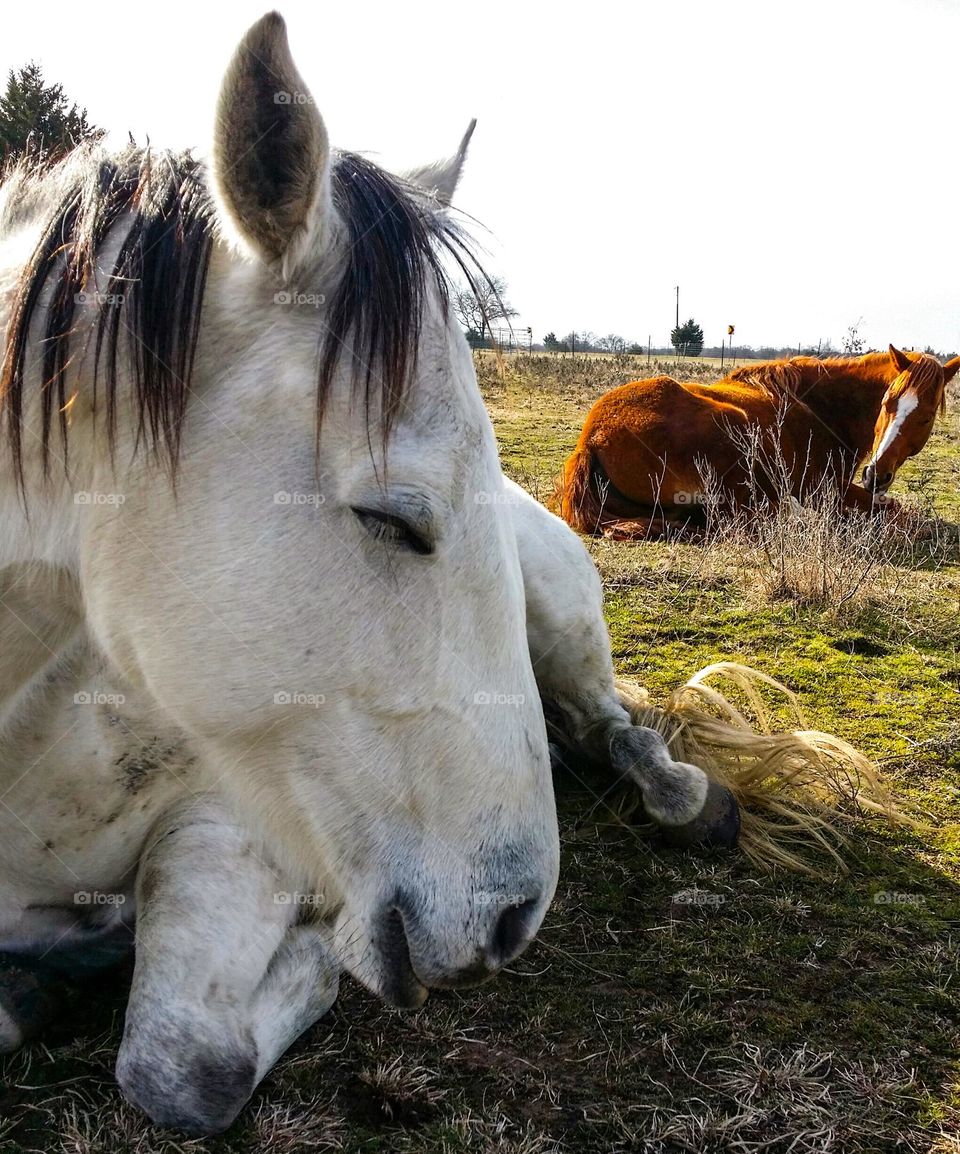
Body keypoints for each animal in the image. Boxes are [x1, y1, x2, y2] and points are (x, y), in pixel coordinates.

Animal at [0, 11, 729, 1135]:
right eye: (392, 515)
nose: (515, 915)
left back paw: (682, 791)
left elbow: (182, 1066)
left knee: (616, 724)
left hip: (565, 624)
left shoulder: (231, 825)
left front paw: (300, 955)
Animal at [558, 343, 955, 537]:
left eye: (925, 416)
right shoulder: (825, 490)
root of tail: (591, 438)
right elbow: (899, 511)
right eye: (888, 404)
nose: (876, 474)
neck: (819, 406)